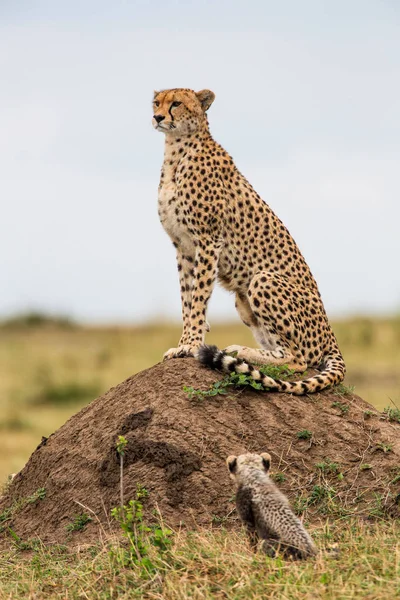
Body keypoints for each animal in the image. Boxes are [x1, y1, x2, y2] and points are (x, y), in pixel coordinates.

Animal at [152, 88, 346, 394]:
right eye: (156, 102)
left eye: (176, 103)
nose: (157, 117)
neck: (177, 150)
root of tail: (332, 338)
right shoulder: (182, 247)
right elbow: (186, 298)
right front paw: (183, 343)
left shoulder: (208, 240)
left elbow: (198, 298)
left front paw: (192, 345)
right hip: (243, 303)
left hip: (263, 279)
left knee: (298, 360)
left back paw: (239, 351)